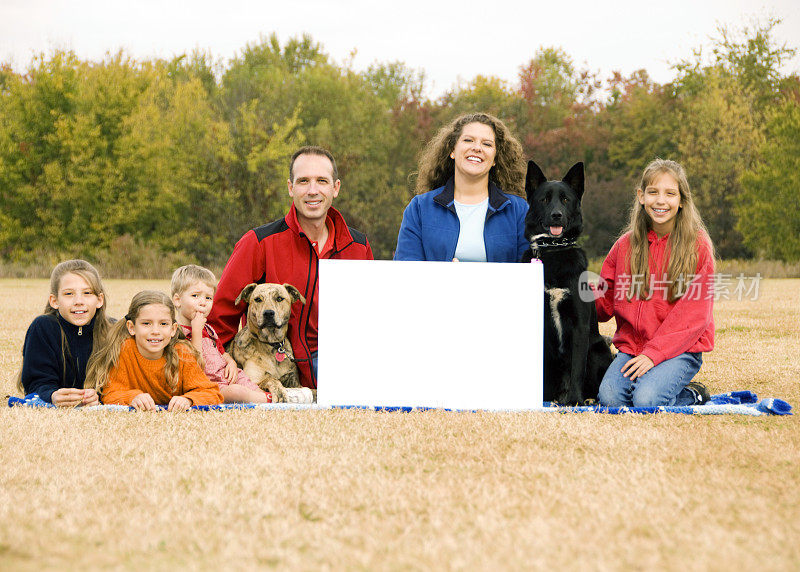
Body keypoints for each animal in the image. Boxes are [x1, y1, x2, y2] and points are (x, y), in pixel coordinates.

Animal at [520, 160, 616, 402]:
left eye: (565, 199)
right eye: (544, 199)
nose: (557, 215)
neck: (554, 251)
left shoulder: (579, 325)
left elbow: (577, 368)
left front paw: (575, 401)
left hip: (598, 349)